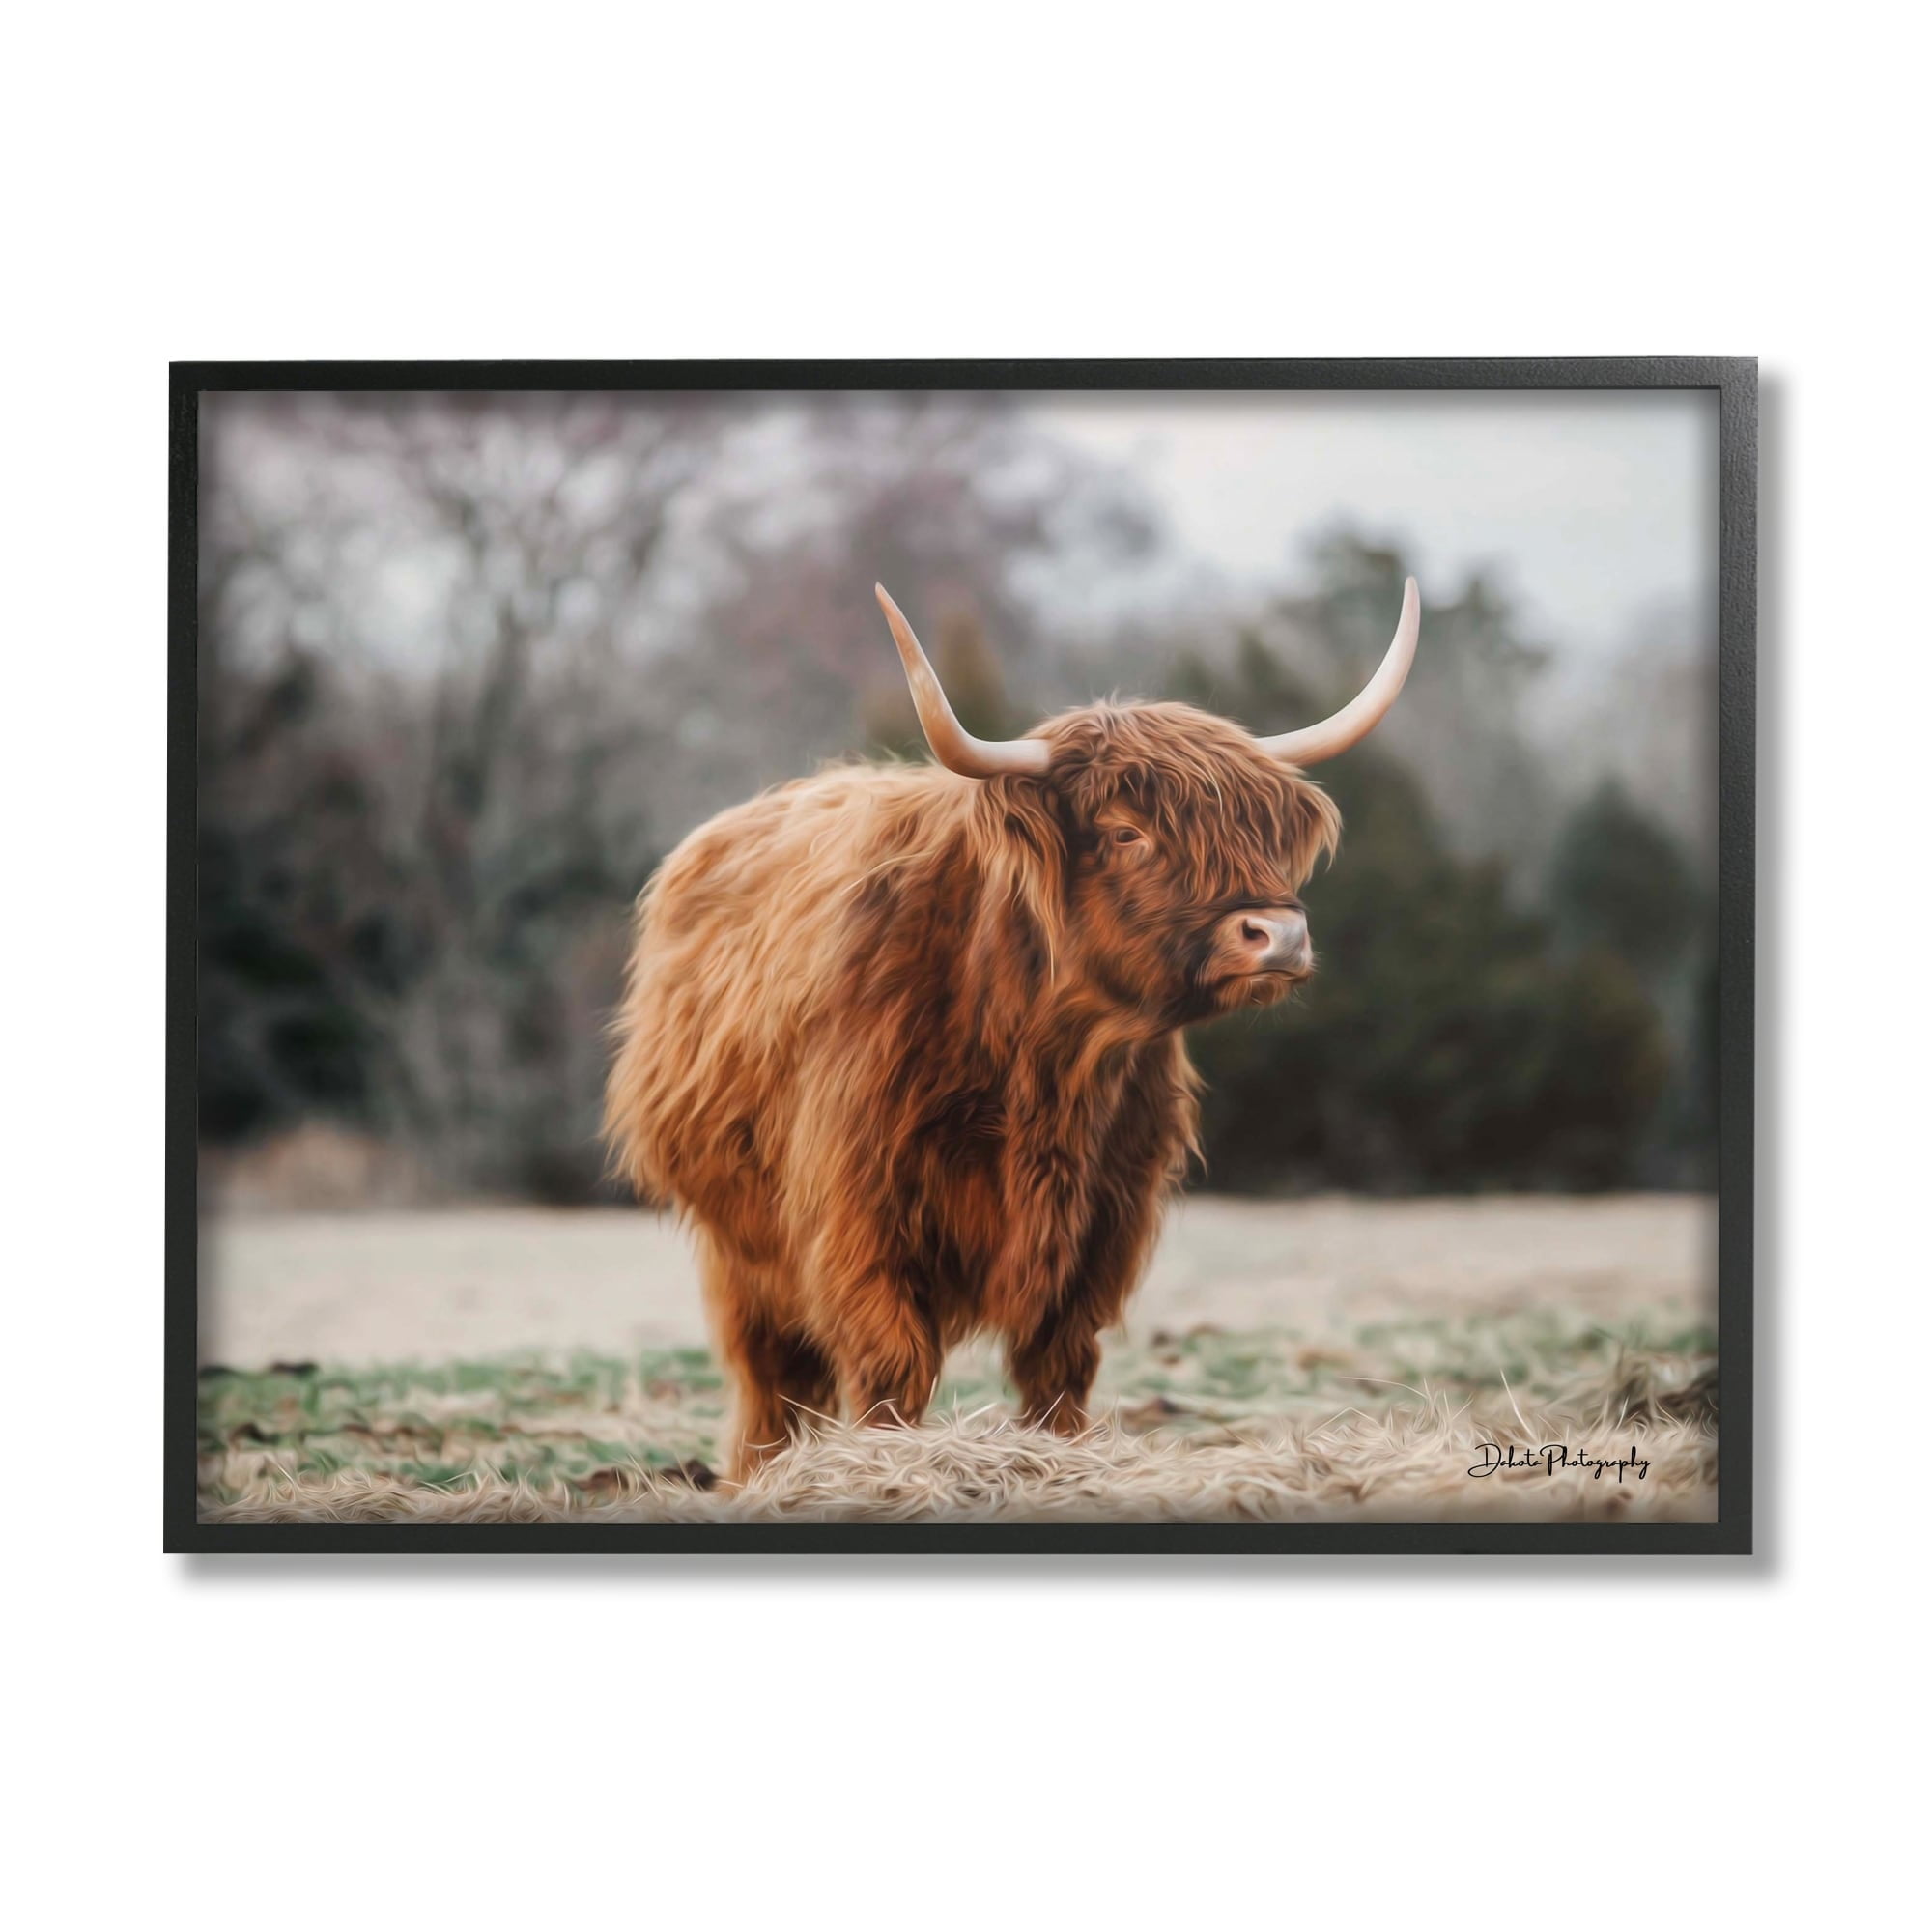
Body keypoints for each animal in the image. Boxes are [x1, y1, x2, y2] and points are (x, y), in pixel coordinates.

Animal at [605, 578, 1421, 1480]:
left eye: (1258, 831)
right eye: (1126, 831)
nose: (1278, 935)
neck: (1045, 1060)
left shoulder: (1107, 1216)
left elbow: (1059, 1360)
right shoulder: (856, 1209)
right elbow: (889, 1362)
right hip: (736, 1240)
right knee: (769, 1373)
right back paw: (758, 1475)